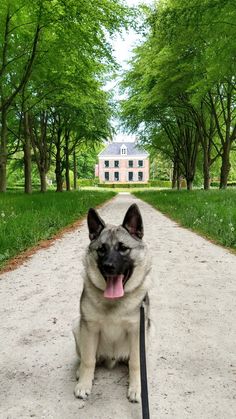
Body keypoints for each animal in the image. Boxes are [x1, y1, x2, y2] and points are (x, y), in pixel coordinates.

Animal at [73, 203, 152, 404]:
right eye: (101, 249)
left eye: (123, 248)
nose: (108, 266)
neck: (114, 302)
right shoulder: (89, 329)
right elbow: (88, 360)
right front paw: (84, 383)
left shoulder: (137, 332)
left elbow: (135, 363)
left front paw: (137, 387)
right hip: (77, 328)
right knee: (88, 357)